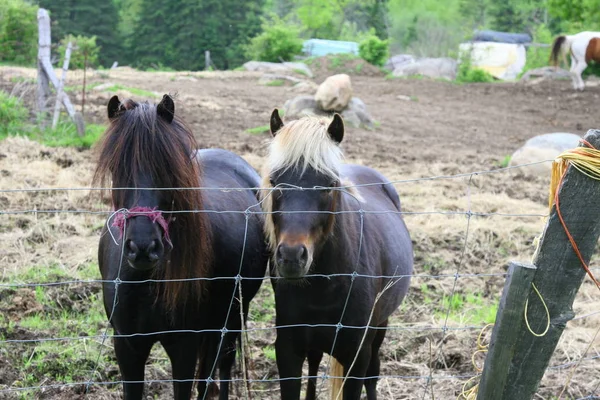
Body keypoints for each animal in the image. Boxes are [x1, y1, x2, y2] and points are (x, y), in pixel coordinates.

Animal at [94, 95, 268, 398]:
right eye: (117, 167)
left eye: (166, 169)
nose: (143, 247)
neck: (146, 281)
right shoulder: (127, 345)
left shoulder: (184, 346)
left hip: (231, 318)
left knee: (222, 366)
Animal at [262, 110, 412, 400]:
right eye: (275, 182)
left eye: (329, 184)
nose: (291, 256)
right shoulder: (288, 351)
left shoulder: (356, 355)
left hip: (380, 327)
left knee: (373, 375)